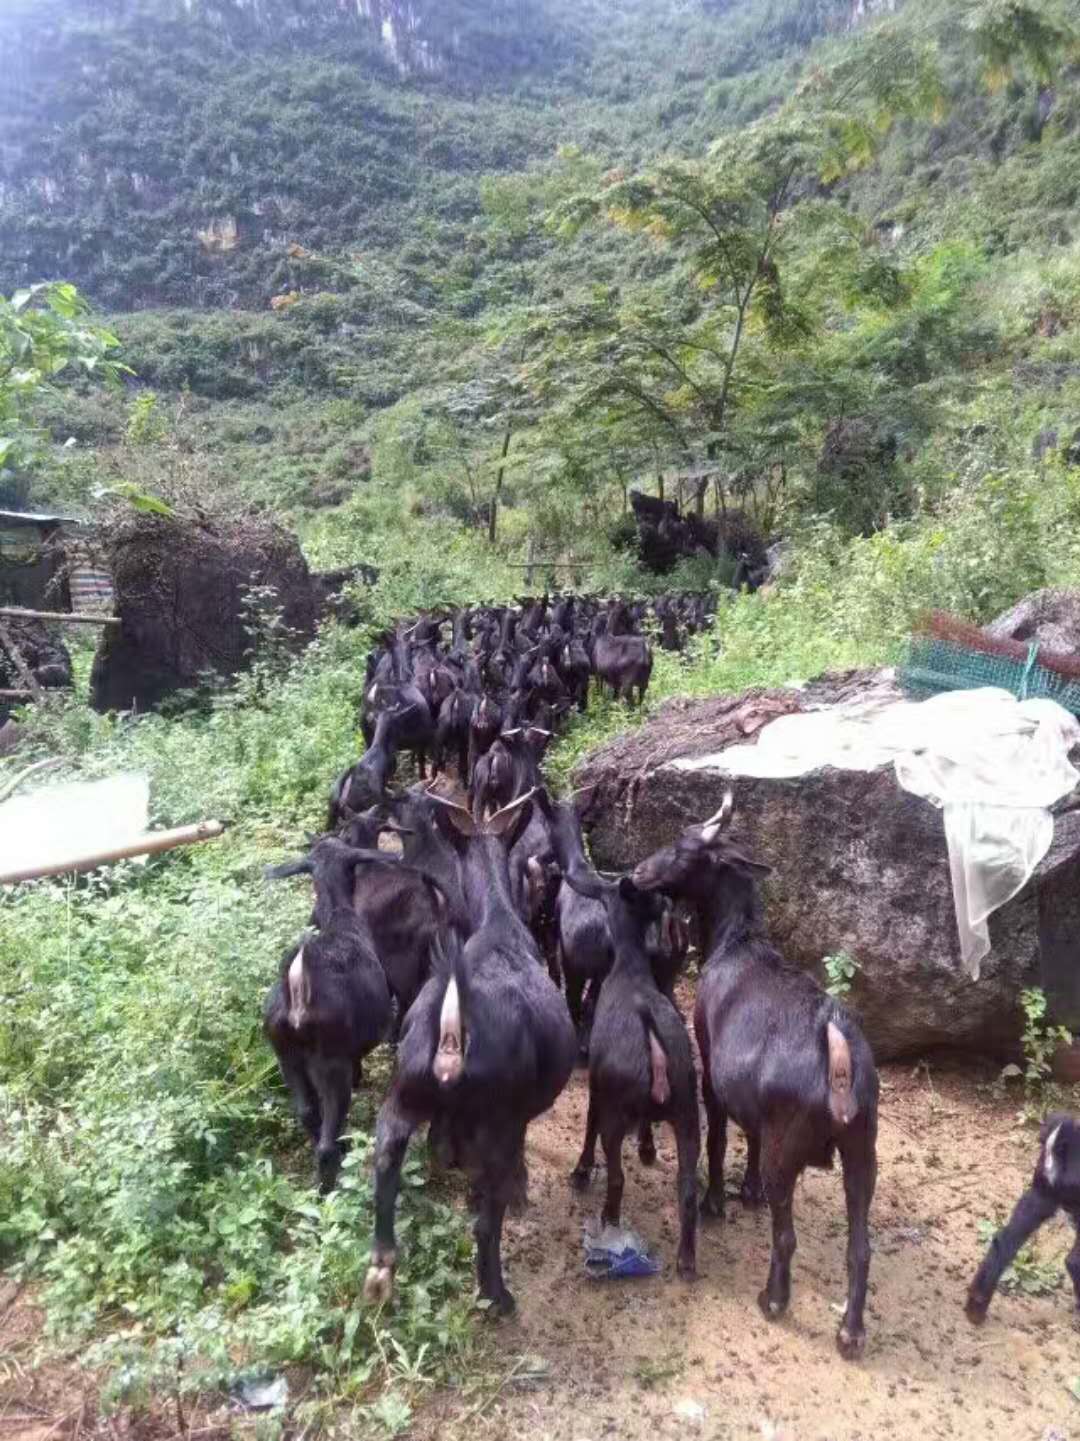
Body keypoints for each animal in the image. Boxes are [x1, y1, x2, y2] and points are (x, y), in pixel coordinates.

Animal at [366, 789, 576, 1319]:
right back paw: (498, 1295)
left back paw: (381, 1267)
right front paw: (522, 1192)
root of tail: (451, 1035)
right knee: (486, 1219)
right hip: (499, 1111)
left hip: (407, 1078)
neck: (500, 922)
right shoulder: (516, 1117)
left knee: (387, 1143)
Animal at [631, 795, 876, 1354]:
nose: (636, 872)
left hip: (792, 1151)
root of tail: (837, 1050)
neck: (734, 944)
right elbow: (750, 1134)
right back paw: (850, 1332)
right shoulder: (756, 1105)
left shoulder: (710, 1063)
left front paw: (718, 1200)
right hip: (862, 1152)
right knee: (860, 1246)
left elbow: (720, 1136)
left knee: (786, 1236)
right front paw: (747, 1192)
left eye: (683, 847)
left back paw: (773, 1300)